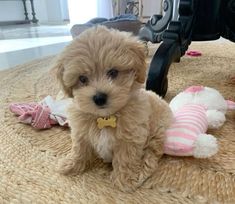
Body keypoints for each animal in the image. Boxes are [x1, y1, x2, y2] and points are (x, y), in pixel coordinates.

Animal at [53, 25, 173, 193]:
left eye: (113, 72)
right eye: (82, 79)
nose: (99, 98)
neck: (104, 117)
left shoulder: (131, 137)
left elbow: (126, 158)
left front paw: (125, 180)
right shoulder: (80, 132)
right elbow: (79, 149)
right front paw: (71, 164)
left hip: (157, 129)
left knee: (153, 152)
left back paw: (143, 168)